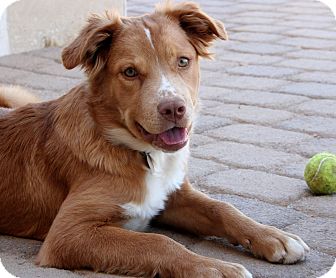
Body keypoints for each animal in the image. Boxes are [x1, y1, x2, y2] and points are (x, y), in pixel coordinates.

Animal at [0, 2, 310, 278]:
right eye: (129, 72)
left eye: (183, 61)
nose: (174, 108)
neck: (144, 155)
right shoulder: (68, 233)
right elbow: (158, 242)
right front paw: (215, 268)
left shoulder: (173, 195)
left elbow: (222, 208)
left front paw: (273, 236)